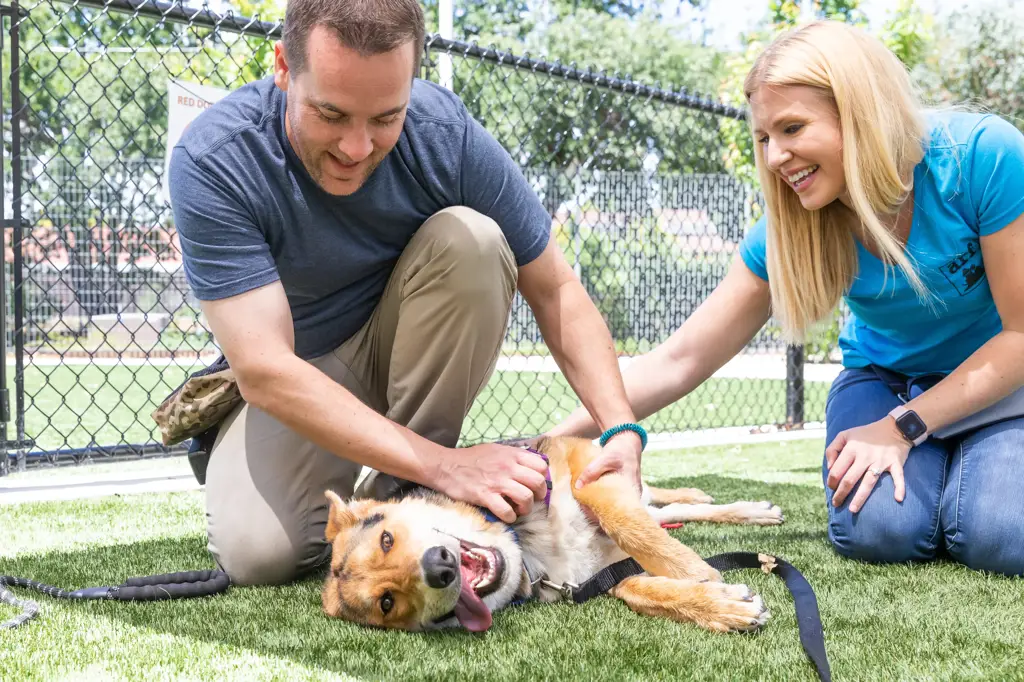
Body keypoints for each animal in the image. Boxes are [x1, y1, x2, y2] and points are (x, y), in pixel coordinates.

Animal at [319, 436, 782, 630]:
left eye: (386, 538)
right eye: (387, 603)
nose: (439, 568)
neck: (525, 546)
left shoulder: (583, 467)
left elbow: (629, 524)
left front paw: (702, 575)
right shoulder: (600, 574)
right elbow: (644, 591)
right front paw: (720, 605)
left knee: (661, 505)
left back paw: (748, 508)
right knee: (667, 512)